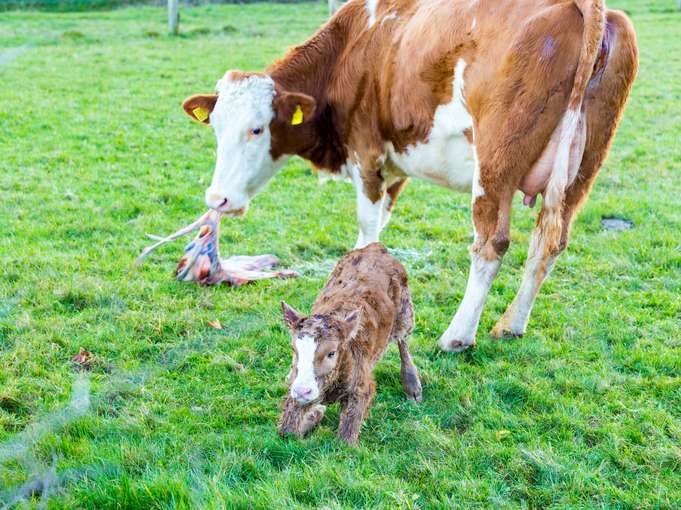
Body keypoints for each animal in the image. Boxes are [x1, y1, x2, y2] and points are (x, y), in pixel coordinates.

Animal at [181, 0, 636, 350]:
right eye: (216, 126)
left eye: (257, 128)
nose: (217, 199)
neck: (355, 46)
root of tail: (585, 7)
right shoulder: (395, 164)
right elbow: (381, 224)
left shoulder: (365, 152)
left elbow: (367, 231)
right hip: (582, 172)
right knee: (549, 243)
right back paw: (512, 324)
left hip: (495, 166)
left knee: (492, 244)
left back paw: (457, 336)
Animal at [276, 243, 420, 442]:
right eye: (294, 350)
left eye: (331, 353)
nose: (302, 391)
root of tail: (375, 248)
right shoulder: (295, 390)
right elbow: (288, 432)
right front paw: (314, 414)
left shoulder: (361, 389)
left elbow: (345, 441)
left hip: (405, 311)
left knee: (403, 340)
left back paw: (413, 387)